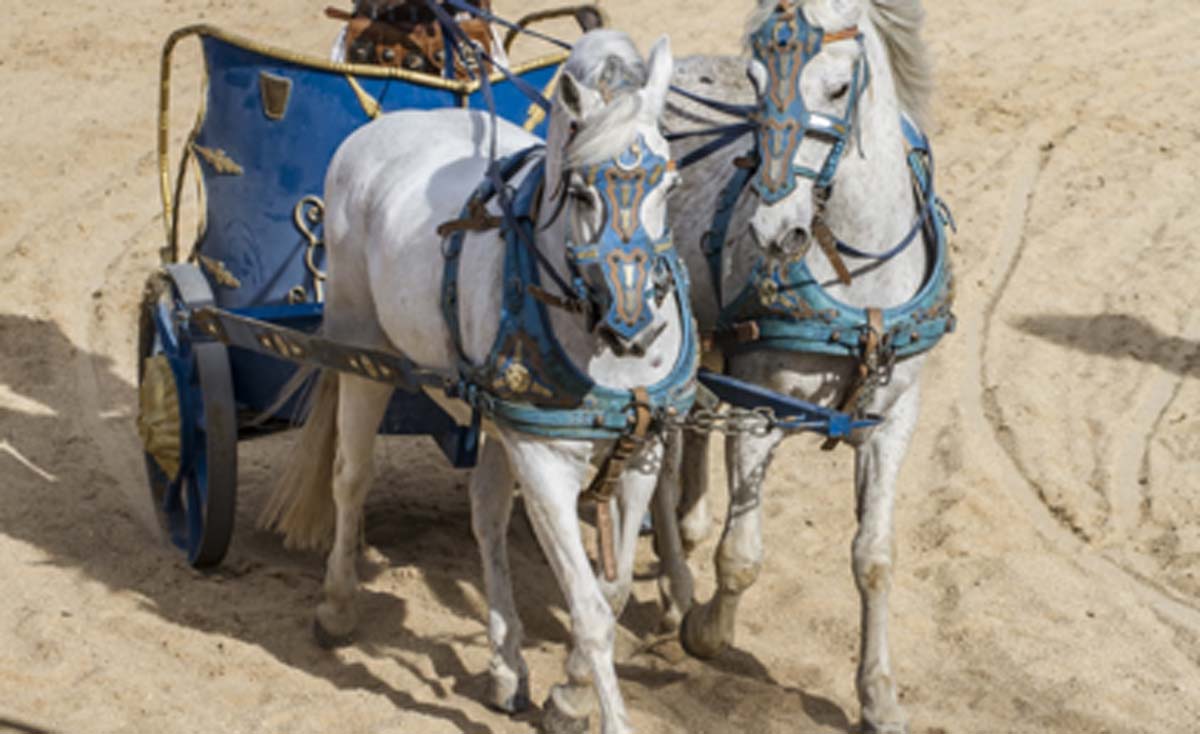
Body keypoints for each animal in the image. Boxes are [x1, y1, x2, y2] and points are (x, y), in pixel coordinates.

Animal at [267, 28, 691, 734]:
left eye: (671, 182)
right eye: (580, 191)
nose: (634, 329)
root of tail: (385, 127)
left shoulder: (640, 453)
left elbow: (614, 590)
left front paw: (566, 691)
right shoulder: (545, 461)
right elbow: (590, 610)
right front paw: (590, 703)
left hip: (497, 409)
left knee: (487, 513)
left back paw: (505, 667)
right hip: (362, 349)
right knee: (350, 478)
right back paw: (337, 606)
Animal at [657, 1, 945, 734]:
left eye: (840, 88)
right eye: (758, 82)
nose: (774, 230)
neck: (858, 280)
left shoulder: (893, 419)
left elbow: (874, 559)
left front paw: (878, 695)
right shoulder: (760, 407)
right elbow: (741, 558)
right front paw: (706, 630)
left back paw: (688, 525)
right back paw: (674, 577)